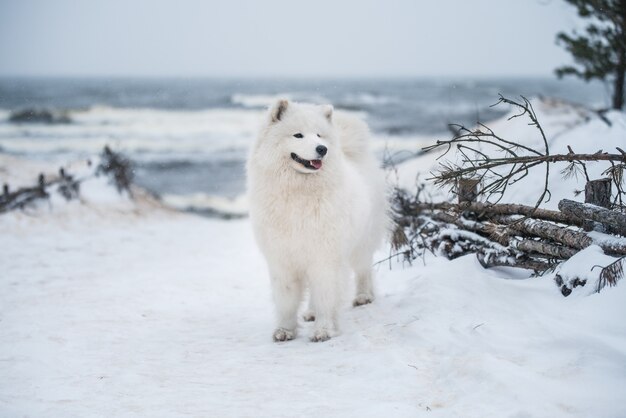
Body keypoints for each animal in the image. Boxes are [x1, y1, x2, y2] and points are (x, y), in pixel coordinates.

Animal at [247, 99, 386, 342]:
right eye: (298, 135)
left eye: (319, 135)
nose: (322, 149)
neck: (298, 193)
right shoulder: (283, 258)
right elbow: (286, 300)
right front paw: (285, 330)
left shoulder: (325, 257)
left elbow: (326, 296)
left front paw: (324, 330)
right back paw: (310, 312)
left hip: (361, 242)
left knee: (363, 270)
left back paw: (363, 296)